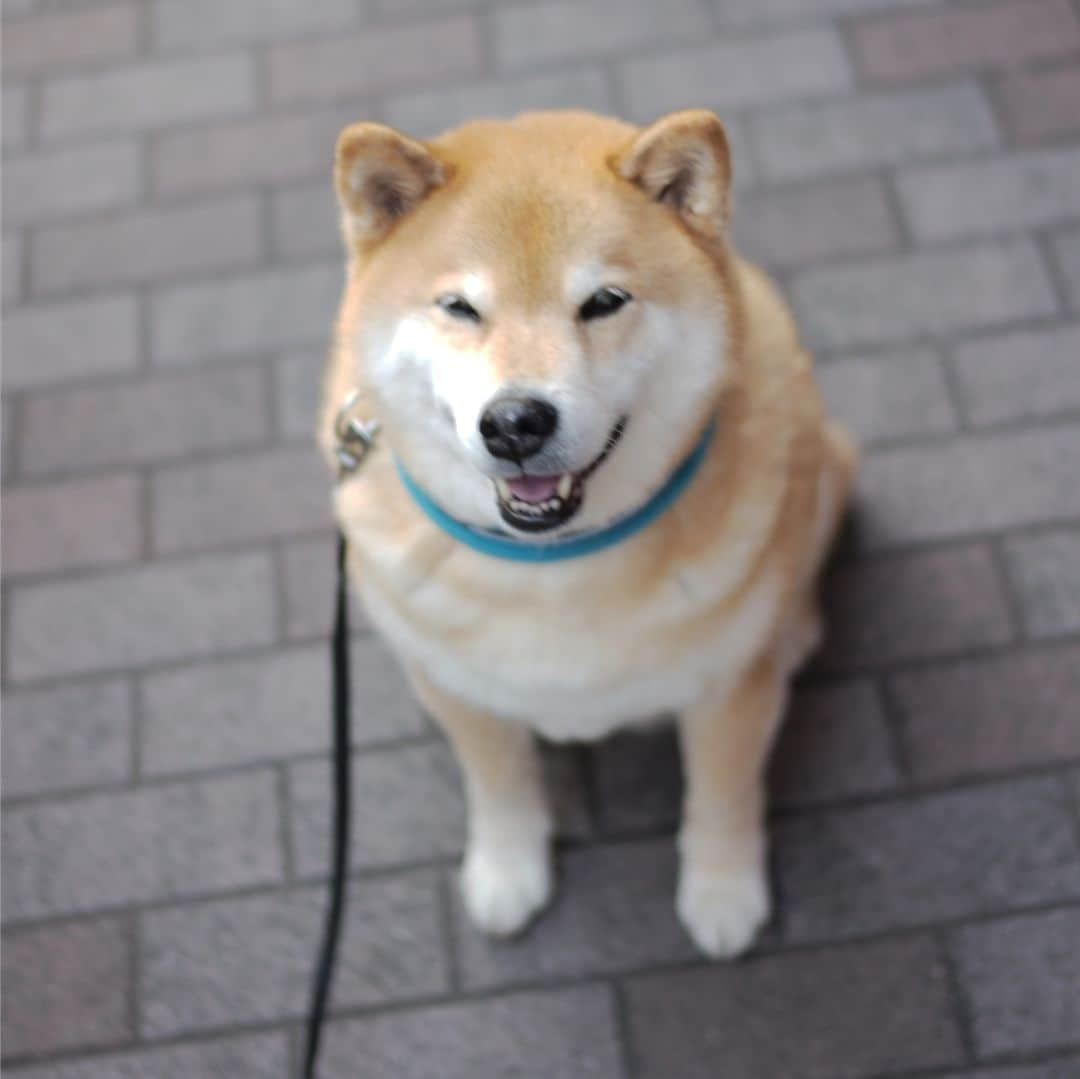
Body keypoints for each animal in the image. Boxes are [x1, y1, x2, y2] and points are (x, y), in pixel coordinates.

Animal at [315, 107, 855, 954]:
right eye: (460, 307)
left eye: (604, 301)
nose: (515, 421)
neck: (552, 570)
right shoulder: (460, 689)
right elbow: (499, 784)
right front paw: (507, 870)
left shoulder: (729, 690)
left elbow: (723, 794)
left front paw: (723, 890)